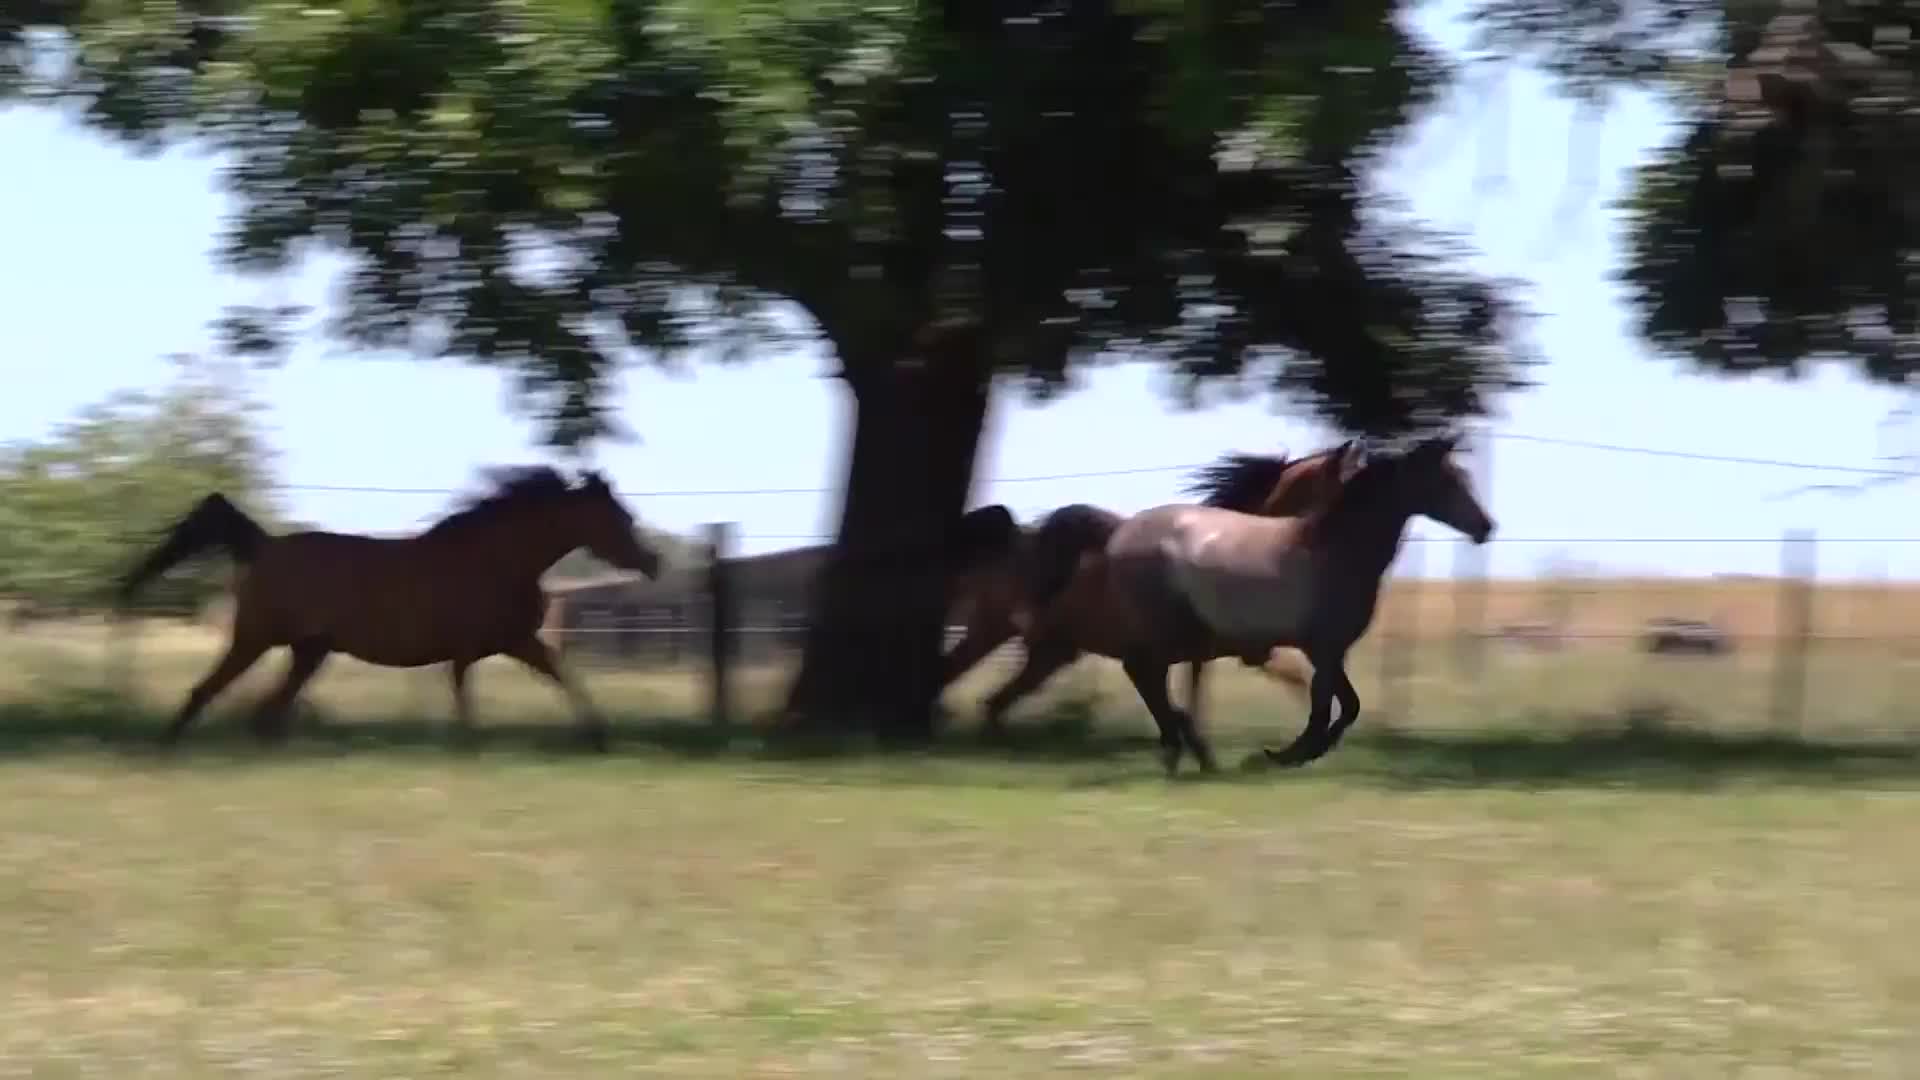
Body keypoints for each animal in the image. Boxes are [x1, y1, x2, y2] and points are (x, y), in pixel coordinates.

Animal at [116, 467, 664, 750]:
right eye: (617, 517)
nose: (654, 561)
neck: (497, 558)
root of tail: (264, 545)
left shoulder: (514, 642)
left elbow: (563, 674)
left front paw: (599, 735)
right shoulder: (475, 648)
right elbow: (467, 697)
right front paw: (469, 745)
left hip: (308, 652)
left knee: (267, 711)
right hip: (256, 638)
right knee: (208, 691)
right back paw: (168, 750)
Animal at [939, 442, 1355, 736]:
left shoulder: (1233, 649)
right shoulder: (1238, 647)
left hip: (1041, 648)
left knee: (988, 698)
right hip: (1010, 636)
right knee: (972, 687)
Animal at [1022, 434, 1493, 776]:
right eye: (1448, 480)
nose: (1486, 527)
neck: (1332, 550)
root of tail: (1118, 534)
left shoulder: (1326, 650)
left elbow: (1345, 706)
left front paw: (1295, 753)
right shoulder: (1319, 647)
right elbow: (1325, 707)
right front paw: (1278, 755)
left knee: (1146, 677)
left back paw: (1180, 749)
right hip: (1162, 630)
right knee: (1143, 673)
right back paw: (1178, 748)